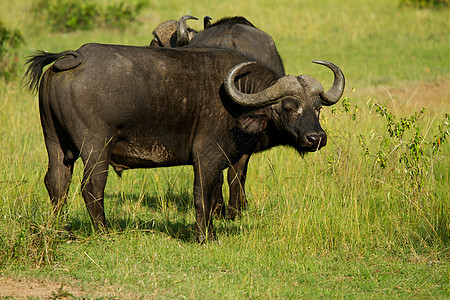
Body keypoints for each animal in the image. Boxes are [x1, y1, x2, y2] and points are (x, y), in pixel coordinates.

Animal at [25, 44, 344, 241]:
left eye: (318, 107)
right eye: (288, 107)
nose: (316, 138)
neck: (239, 103)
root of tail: (72, 58)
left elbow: (214, 195)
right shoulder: (207, 157)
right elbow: (203, 195)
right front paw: (205, 236)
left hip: (54, 142)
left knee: (57, 182)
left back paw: (62, 230)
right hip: (96, 146)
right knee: (91, 186)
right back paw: (104, 231)